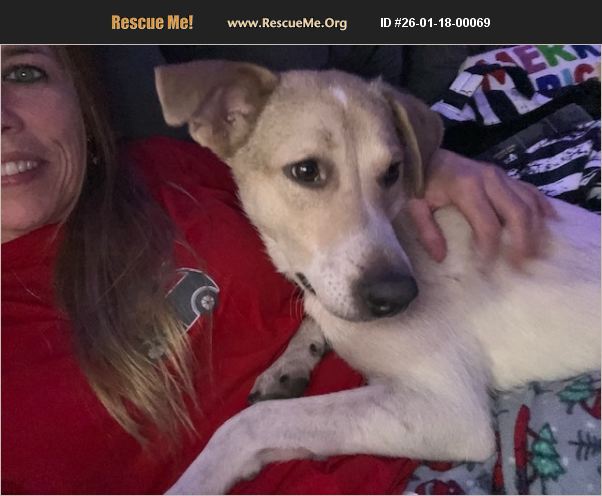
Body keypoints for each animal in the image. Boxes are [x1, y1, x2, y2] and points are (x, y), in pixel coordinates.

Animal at [154, 61, 601, 494]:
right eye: (305, 170)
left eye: (393, 172)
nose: (399, 296)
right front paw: (290, 362)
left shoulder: (448, 408)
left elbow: (251, 423)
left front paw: (196, 481)